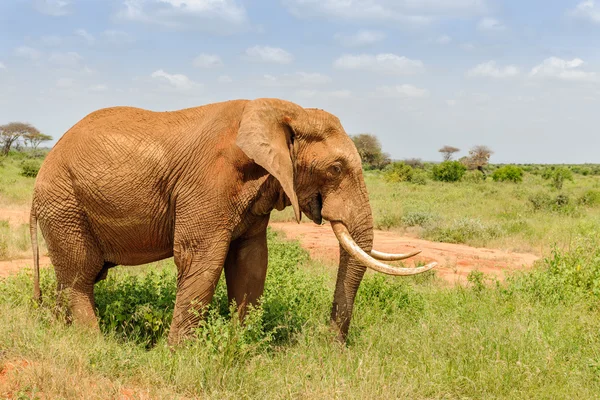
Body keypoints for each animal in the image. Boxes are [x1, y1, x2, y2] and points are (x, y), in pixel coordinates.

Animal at [30, 97, 436, 344]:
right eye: (335, 169)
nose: (330, 347)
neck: (284, 111)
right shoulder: (207, 182)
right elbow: (202, 260)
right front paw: (179, 356)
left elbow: (250, 263)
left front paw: (241, 345)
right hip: (64, 204)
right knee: (80, 277)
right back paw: (93, 343)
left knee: (74, 278)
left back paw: (59, 334)